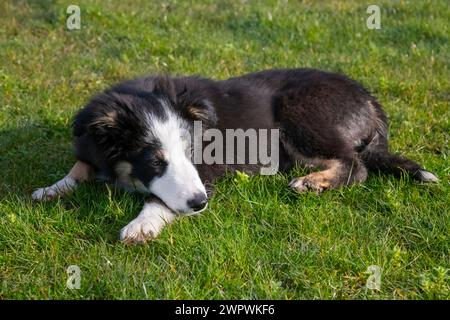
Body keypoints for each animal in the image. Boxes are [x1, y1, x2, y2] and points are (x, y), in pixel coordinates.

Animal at [32, 69, 440, 244]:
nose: (200, 205)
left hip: (300, 115)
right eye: (155, 161)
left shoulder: (207, 172)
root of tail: (370, 100)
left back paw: (312, 183)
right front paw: (51, 189)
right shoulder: (91, 143)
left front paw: (141, 226)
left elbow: (157, 201)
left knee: (356, 166)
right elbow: (80, 165)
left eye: (191, 153)